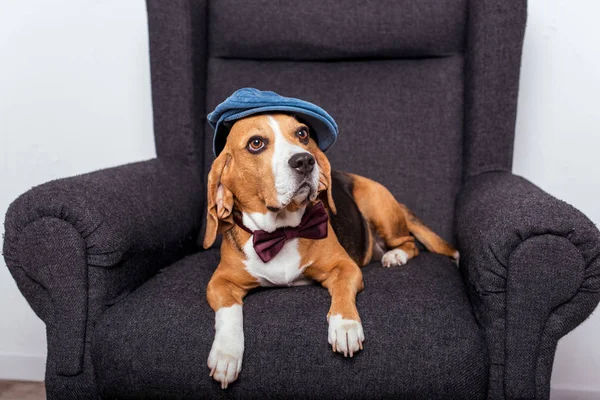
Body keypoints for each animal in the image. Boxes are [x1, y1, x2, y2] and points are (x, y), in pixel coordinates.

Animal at [203, 112, 460, 388]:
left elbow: (342, 290)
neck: (281, 232)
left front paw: (345, 326)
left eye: (302, 134)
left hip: (376, 204)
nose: (305, 161)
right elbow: (229, 312)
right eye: (256, 143)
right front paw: (226, 353)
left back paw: (395, 256)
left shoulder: (345, 267)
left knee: (409, 242)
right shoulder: (219, 283)